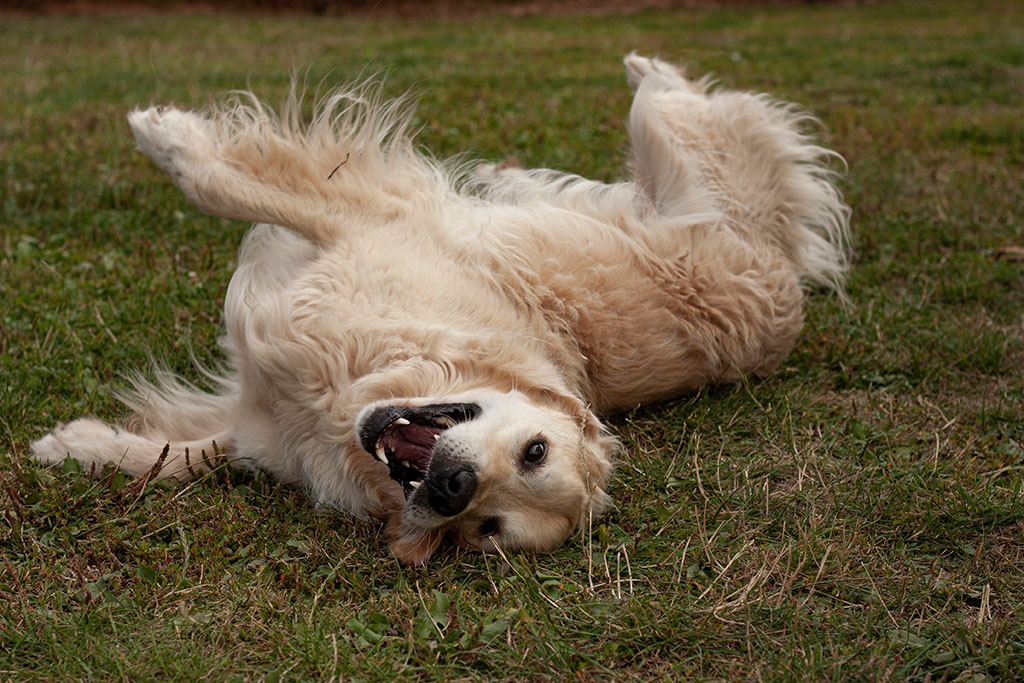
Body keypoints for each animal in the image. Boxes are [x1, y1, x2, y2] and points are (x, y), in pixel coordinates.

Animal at [29, 56, 847, 565]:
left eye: (487, 529)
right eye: (536, 450)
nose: (451, 488)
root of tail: (784, 281)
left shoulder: (269, 415)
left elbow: (189, 455)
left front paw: (80, 445)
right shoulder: (364, 214)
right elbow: (222, 182)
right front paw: (160, 132)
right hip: (670, 165)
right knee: (677, 104)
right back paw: (636, 74)